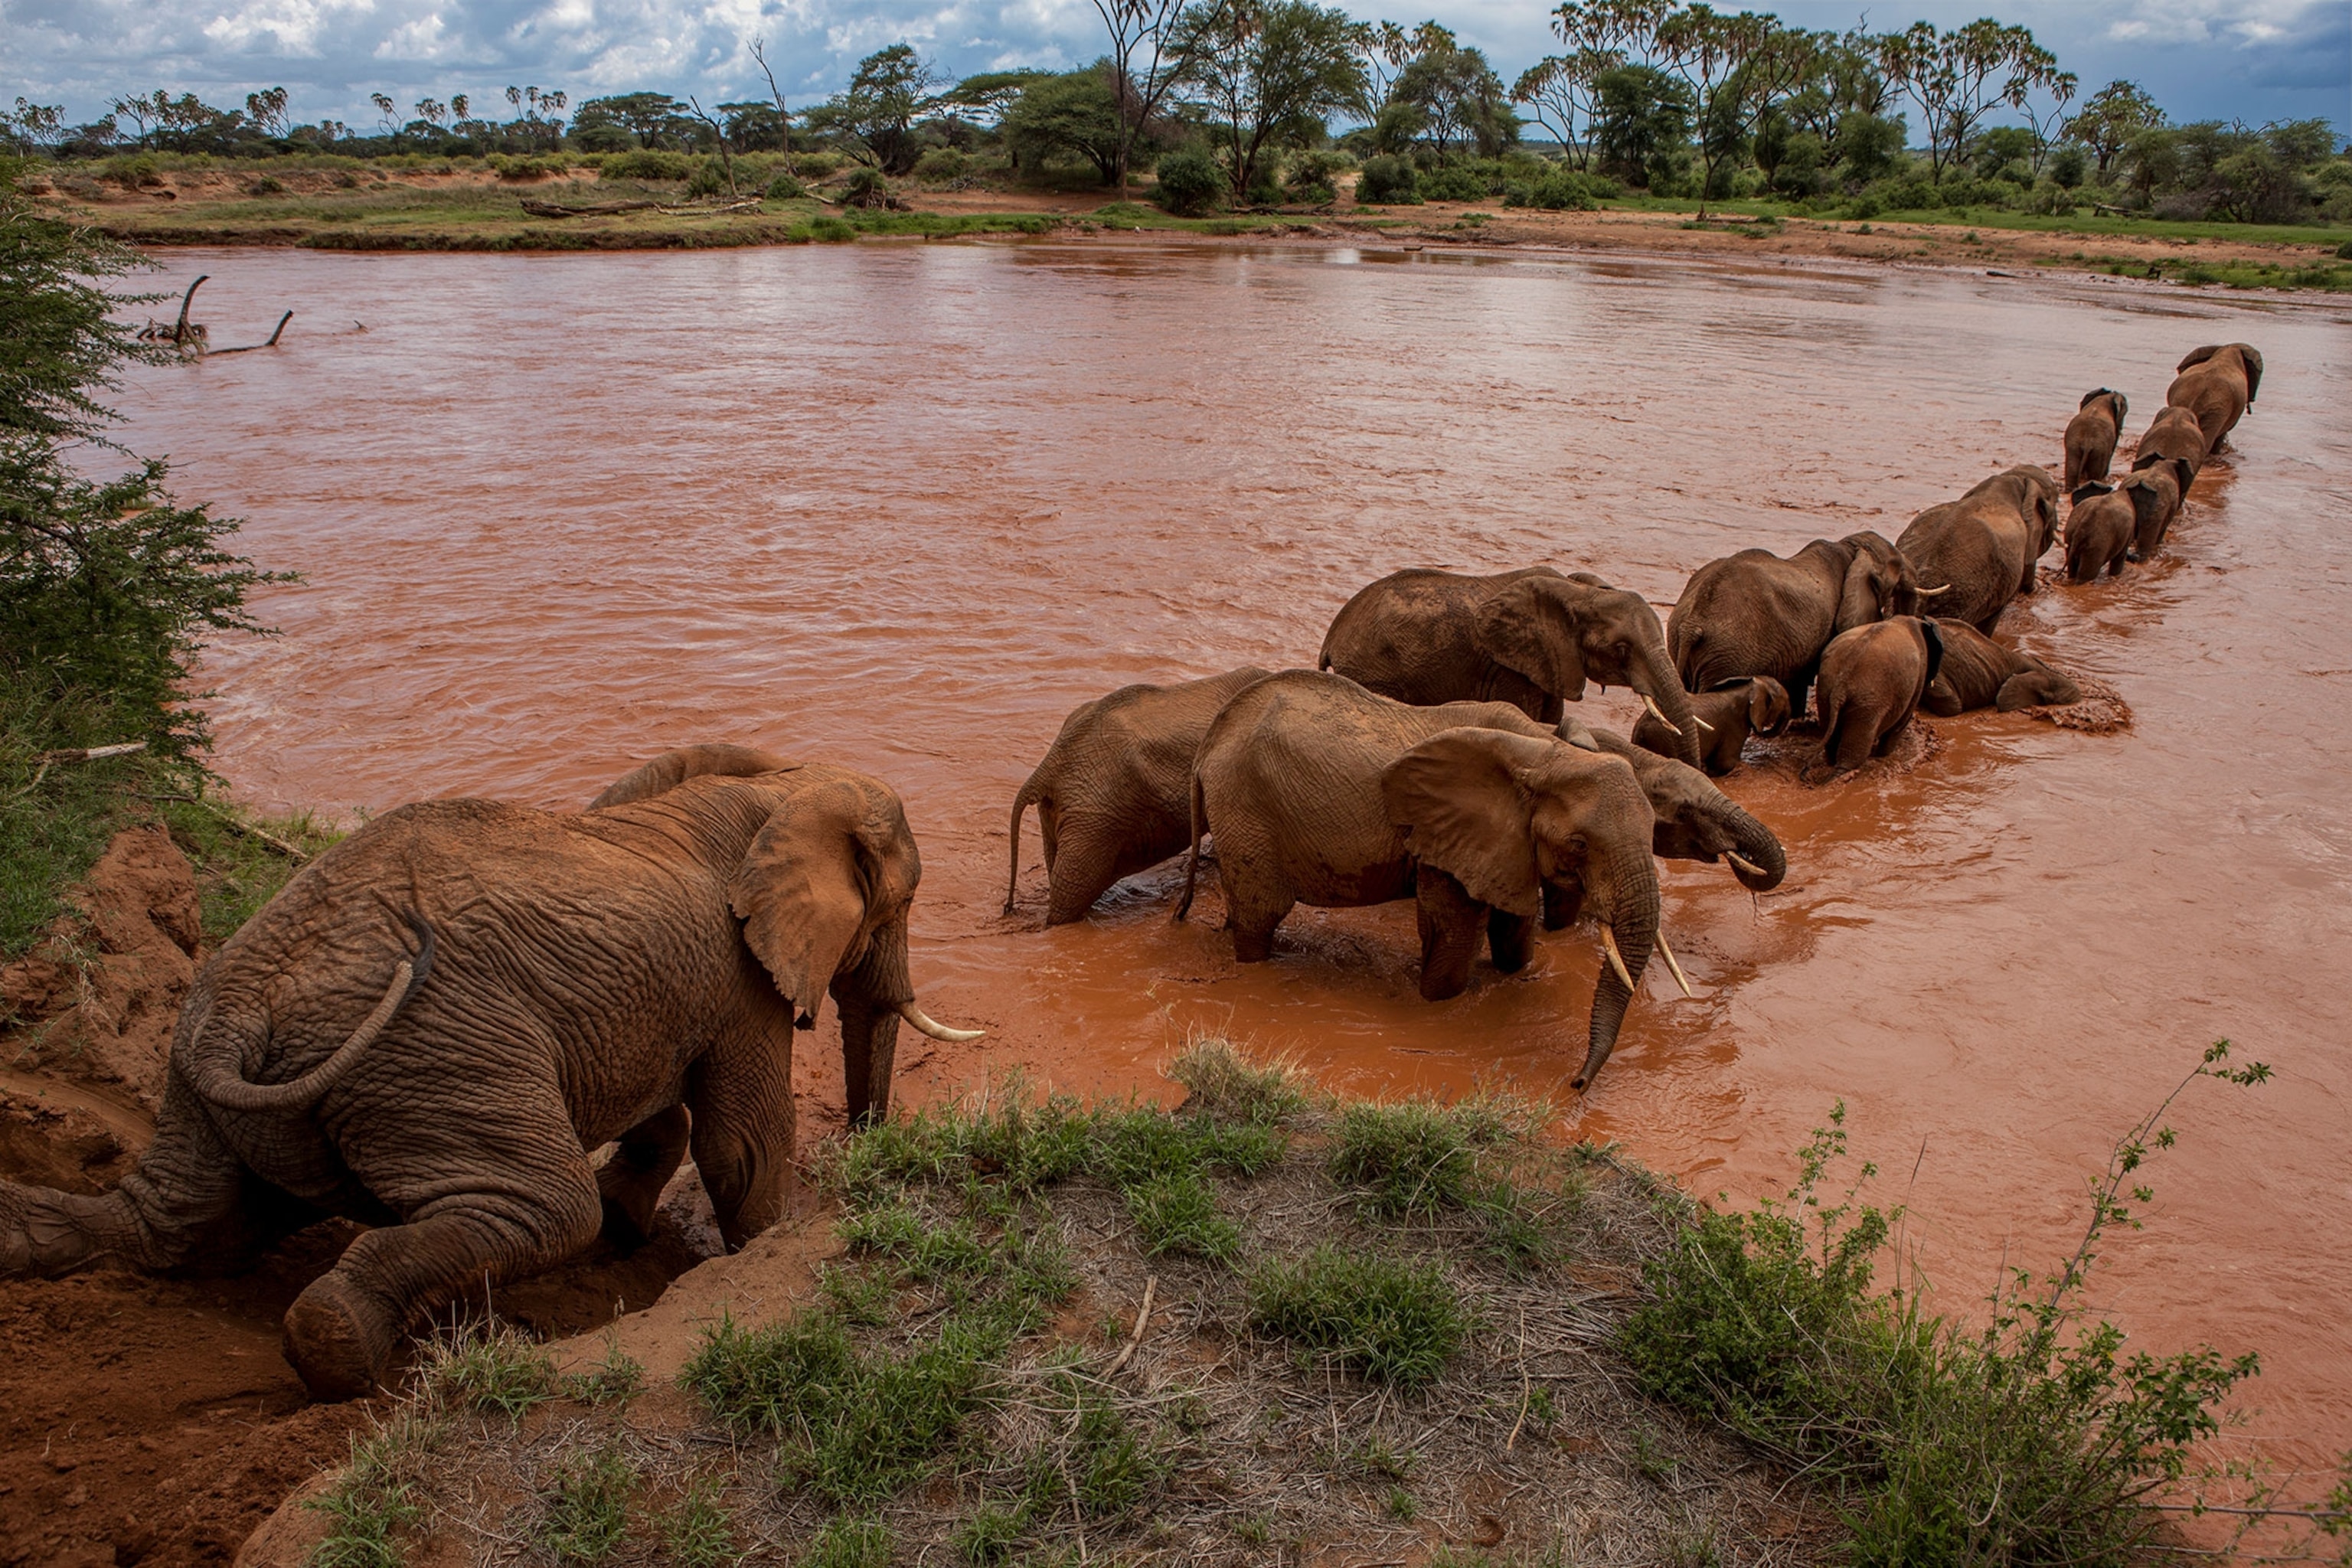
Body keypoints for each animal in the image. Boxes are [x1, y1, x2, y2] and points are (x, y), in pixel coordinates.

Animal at [0, 748, 982, 1400]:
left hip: (200, 1068)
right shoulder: (735, 975)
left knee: (178, 1218)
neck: (780, 782)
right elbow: (740, 1143)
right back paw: (349, 1355)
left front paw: (631, 1232)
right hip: (434, 1053)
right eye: (896, 906)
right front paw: (754, 1250)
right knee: (543, 1206)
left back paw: (22, 1240)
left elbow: (665, 1112)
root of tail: (243, 1005)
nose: (865, 1150)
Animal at [1175, 671, 1661, 1091]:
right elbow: (1457, 932)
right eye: (1580, 845)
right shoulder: (1451, 837)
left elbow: (1512, 934)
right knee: (1260, 917)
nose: (1576, 1083)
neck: (1546, 752)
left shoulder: (1505, 846)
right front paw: (1438, 1004)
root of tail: (1209, 744)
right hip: (1246, 811)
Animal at [1318, 567, 1703, 769]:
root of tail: (1332, 638)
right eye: (1622, 649)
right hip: (1374, 671)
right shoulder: (1510, 665)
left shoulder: (1549, 661)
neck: (1579, 593)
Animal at [1630, 675, 1790, 778]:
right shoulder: (1736, 725)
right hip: (1665, 740)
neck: (1751, 687)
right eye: (1784, 701)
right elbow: (1726, 763)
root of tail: (1640, 729)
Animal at [1813, 617, 1944, 777]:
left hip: (1826, 688)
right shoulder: (1919, 676)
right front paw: (1883, 755)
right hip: (1868, 700)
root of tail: (1842, 683)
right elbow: (1902, 720)